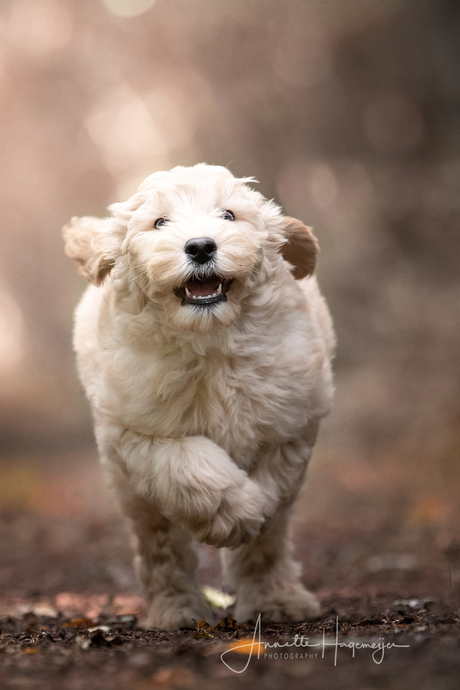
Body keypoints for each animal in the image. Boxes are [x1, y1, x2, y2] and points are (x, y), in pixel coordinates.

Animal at [63, 163, 334, 628]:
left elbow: (271, 519)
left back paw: (274, 599)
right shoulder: (140, 433)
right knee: (160, 548)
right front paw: (237, 513)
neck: (210, 340)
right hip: (130, 489)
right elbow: (192, 468)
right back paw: (175, 609)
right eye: (159, 222)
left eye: (228, 215)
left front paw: (270, 588)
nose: (201, 246)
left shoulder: (287, 426)